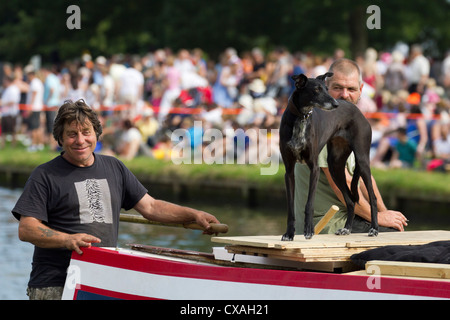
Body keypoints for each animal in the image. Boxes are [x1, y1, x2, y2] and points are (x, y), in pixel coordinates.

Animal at [280, 73, 378, 240]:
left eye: (326, 88)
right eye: (316, 89)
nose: (336, 104)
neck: (302, 117)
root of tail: (358, 111)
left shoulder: (314, 168)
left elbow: (309, 203)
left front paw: (309, 230)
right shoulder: (289, 171)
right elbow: (290, 207)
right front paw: (289, 234)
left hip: (362, 160)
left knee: (372, 197)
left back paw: (374, 229)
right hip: (335, 167)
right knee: (350, 201)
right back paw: (347, 229)